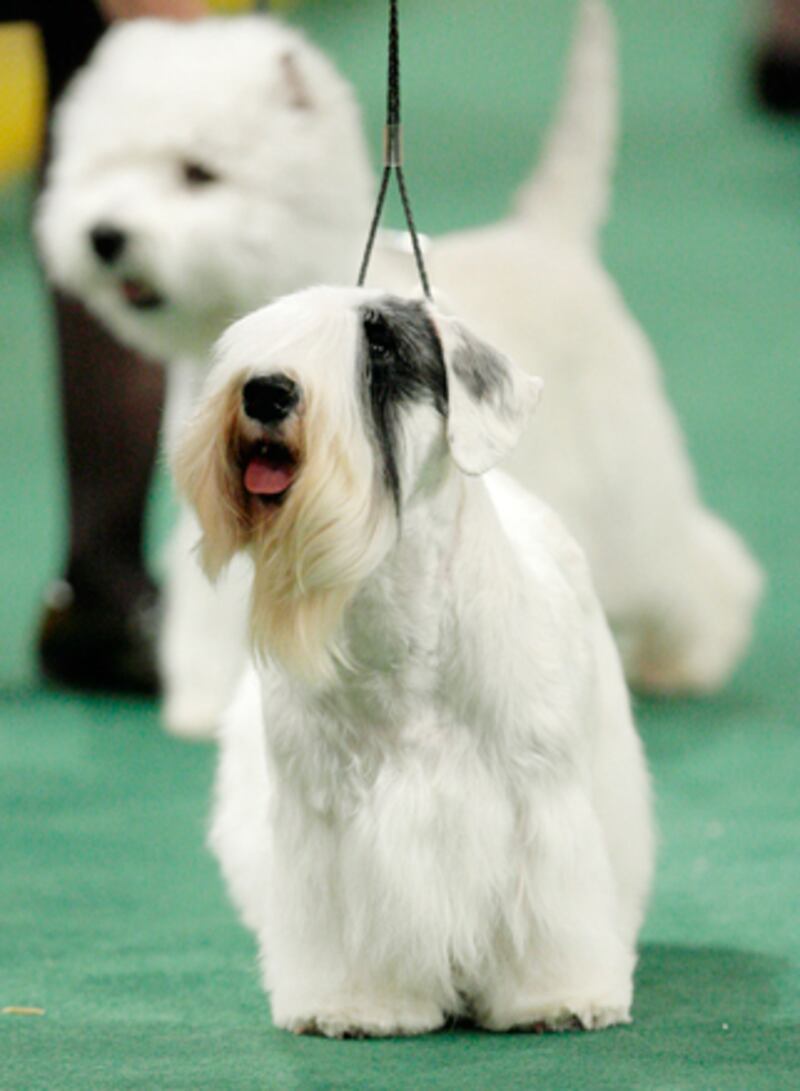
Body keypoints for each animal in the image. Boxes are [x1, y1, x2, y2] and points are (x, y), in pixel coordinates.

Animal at [37, 2, 759, 741]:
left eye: (198, 172)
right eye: (100, 165)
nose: (104, 235)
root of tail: (550, 239)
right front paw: (210, 701)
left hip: (629, 492)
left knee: (693, 568)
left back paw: (688, 658)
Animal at [174, 285, 654, 1034]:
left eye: (380, 347)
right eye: (254, 341)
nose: (266, 391)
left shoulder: (538, 803)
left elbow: (549, 912)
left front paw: (557, 995)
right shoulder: (326, 821)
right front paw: (354, 1003)